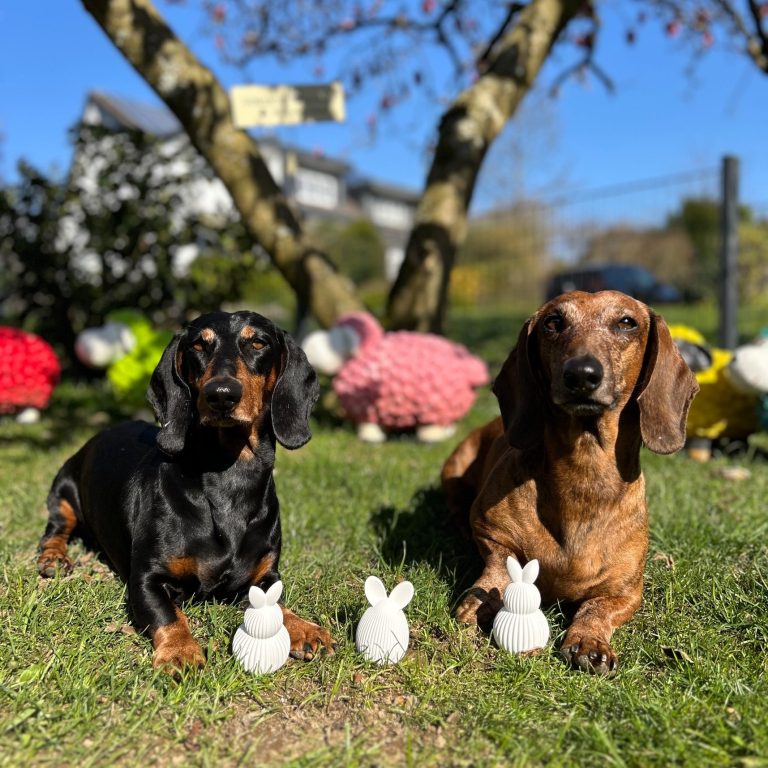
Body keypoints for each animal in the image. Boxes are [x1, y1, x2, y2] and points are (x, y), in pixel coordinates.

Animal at [38, 310, 334, 670]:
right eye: (198, 345)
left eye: (258, 343)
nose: (221, 394)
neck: (228, 476)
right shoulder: (146, 579)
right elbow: (169, 616)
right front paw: (180, 650)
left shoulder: (266, 577)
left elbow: (276, 603)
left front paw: (305, 628)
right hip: (63, 490)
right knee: (56, 529)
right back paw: (53, 558)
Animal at [442, 291, 698, 674]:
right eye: (553, 322)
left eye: (627, 322)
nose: (581, 374)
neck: (583, 473)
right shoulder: (491, 532)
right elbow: (499, 566)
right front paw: (479, 602)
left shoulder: (627, 589)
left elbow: (597, 607)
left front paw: (589, 640)